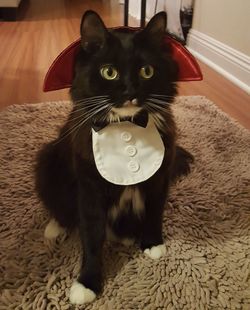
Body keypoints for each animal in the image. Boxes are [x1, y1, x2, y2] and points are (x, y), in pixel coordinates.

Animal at [34, 10, 192, 306]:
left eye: (146, 71)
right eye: (109, 72)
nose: (130, 92)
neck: (127, 126)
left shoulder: (159, 180)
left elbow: (154, 213)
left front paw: (152, 244)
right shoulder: (90, 191)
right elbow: (92, 238)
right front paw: (87, 284)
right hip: (48, 160)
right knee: (60, 208)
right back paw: (54, 229)